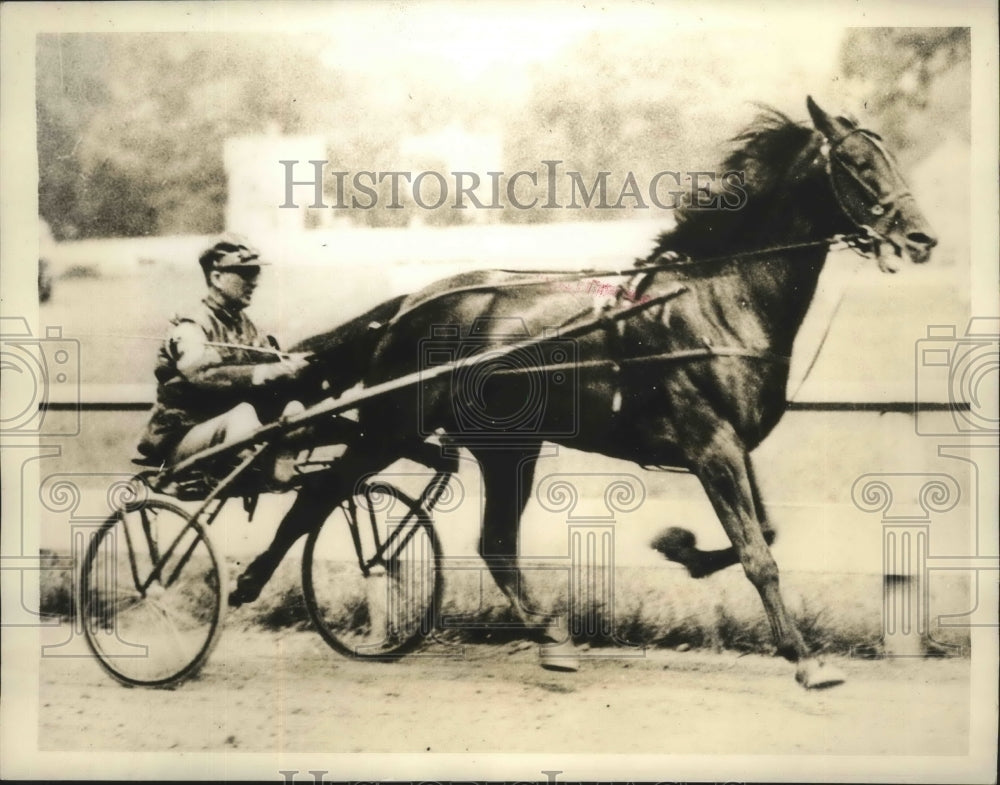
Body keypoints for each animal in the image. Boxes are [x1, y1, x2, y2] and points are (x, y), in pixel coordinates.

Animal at [232, 96, 936, 688]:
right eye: (857, 163)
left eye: (890, 157)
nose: (922, 238)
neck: (714, 301)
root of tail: (410, 303)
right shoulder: (710, 443)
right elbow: (757, 552)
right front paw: (807, 660)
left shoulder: (734, 443)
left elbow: (764, 529)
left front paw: (680, 548)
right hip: (391, 426)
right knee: (320, 495)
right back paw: (246, 581)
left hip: (506, 448)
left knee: (493, 544)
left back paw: (553, 640)